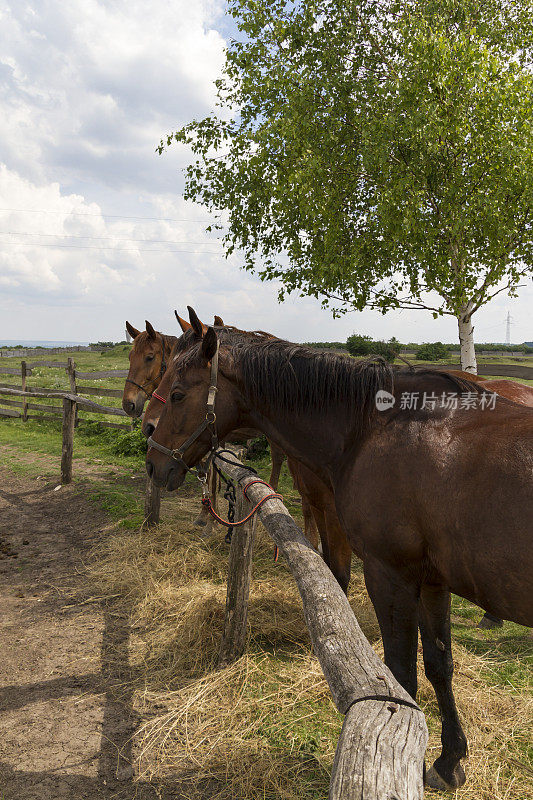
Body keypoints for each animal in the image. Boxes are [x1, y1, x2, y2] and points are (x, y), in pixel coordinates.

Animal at [145, 318, 532, 788]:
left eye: (178, 393)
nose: (152, 460)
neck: (372, 429)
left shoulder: (390, 575)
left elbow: (400, 675)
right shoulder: (431, 581)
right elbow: (440, 664)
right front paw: (449, 760)